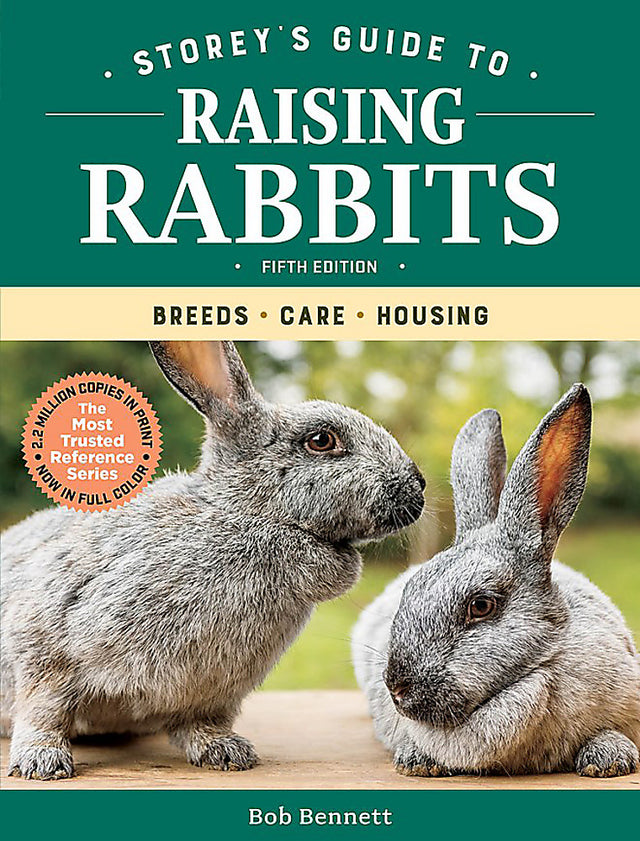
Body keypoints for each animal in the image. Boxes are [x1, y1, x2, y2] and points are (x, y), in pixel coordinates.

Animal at [1, 340, 425, 780]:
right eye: (322, 440)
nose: (418, 487)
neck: (246, 517)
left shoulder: (213, 693)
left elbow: (202, 723)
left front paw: (225, 752)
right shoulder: (45, 635)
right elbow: (43, 709)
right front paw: (41, 761)